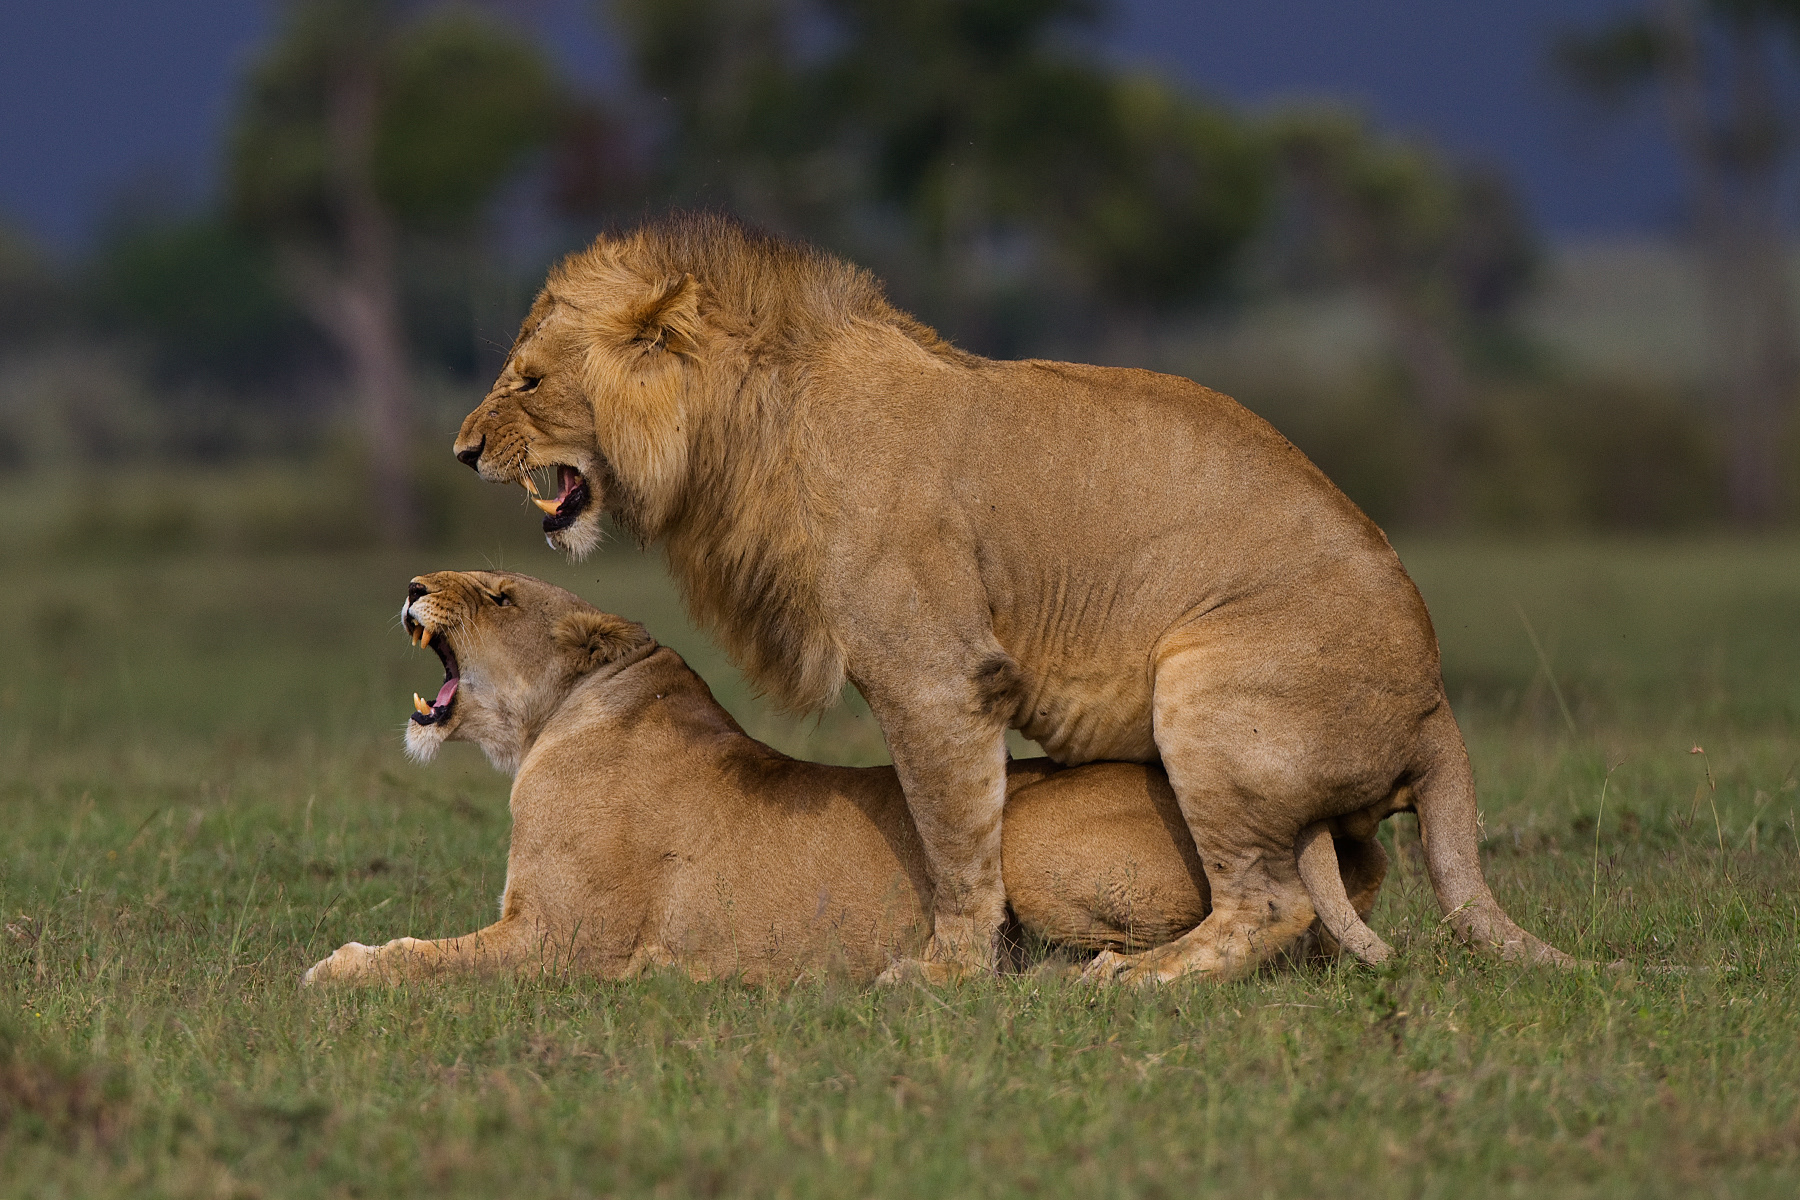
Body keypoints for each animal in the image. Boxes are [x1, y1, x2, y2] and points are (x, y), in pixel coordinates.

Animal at [303, 571, 1395, 986]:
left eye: (496, 594)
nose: (412, 584)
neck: (554, 720)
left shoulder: (565, 939)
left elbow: (425, 958)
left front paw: (341, 966)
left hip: (1030, 840)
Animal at [451, 213, 1569, 984]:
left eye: (529, 381)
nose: (460, 451)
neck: (749, 430)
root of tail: (1436, 707)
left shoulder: (934, 674)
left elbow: (952, 833)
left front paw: (943, 972)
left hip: (1205, 685)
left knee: (1270, 902)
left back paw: (1129, 979)